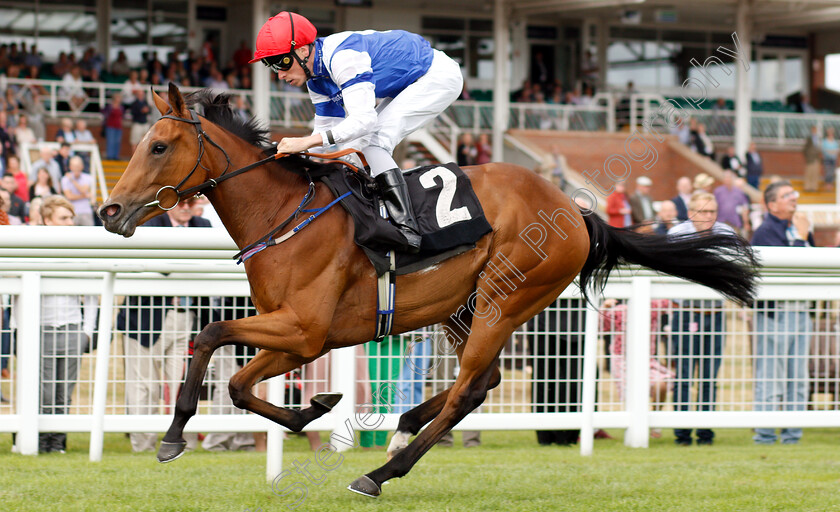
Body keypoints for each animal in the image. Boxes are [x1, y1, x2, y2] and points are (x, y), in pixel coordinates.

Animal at [98, 83, 760, 496]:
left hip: (505, 298)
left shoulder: (305, 330)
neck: (287, 214)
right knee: (482, 382)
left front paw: (172, 437)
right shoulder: (300, 338)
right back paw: (404, 422)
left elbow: (211, 335)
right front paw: (316, 407)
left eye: (159, 145)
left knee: (469, 388)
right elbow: (236, 383)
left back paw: (382, 471)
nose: (110, 210)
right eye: (139, 143)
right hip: (464, 308)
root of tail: (575, 210)